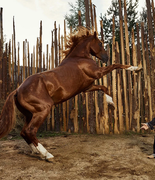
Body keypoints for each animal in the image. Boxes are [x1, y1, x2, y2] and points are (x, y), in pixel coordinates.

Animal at [0, 29, 140, 162]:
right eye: (100, 43)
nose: (106, 58)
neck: (79, 57)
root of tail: (17, 90)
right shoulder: (97, 73)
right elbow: (116, 65)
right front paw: (136, 68)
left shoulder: (87, 87)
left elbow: (104, 87)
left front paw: (111, 103)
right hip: (43, 109)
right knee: (30, 131)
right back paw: (47, 155)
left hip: (30, 114)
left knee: (24, 132)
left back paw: (36, 152)